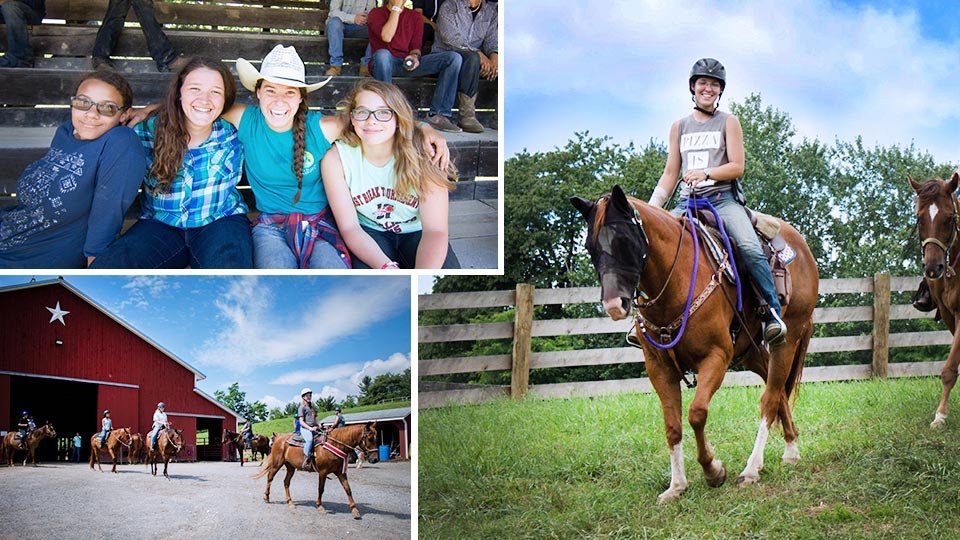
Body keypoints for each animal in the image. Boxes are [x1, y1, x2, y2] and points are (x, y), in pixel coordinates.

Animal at [568, 185, 816, 502]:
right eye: (590, 246)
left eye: (625, 239)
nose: (614, 305)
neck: (676, 281)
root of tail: (801, 247)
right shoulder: (659, 368)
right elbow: (672, 426)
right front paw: (676, 486)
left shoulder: (716, 358)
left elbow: (697, 413)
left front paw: (713, 470)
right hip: (751, 350)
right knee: (779, 393)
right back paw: (791, 450)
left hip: (788, 337)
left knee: (770, 398)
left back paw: (751, 469)